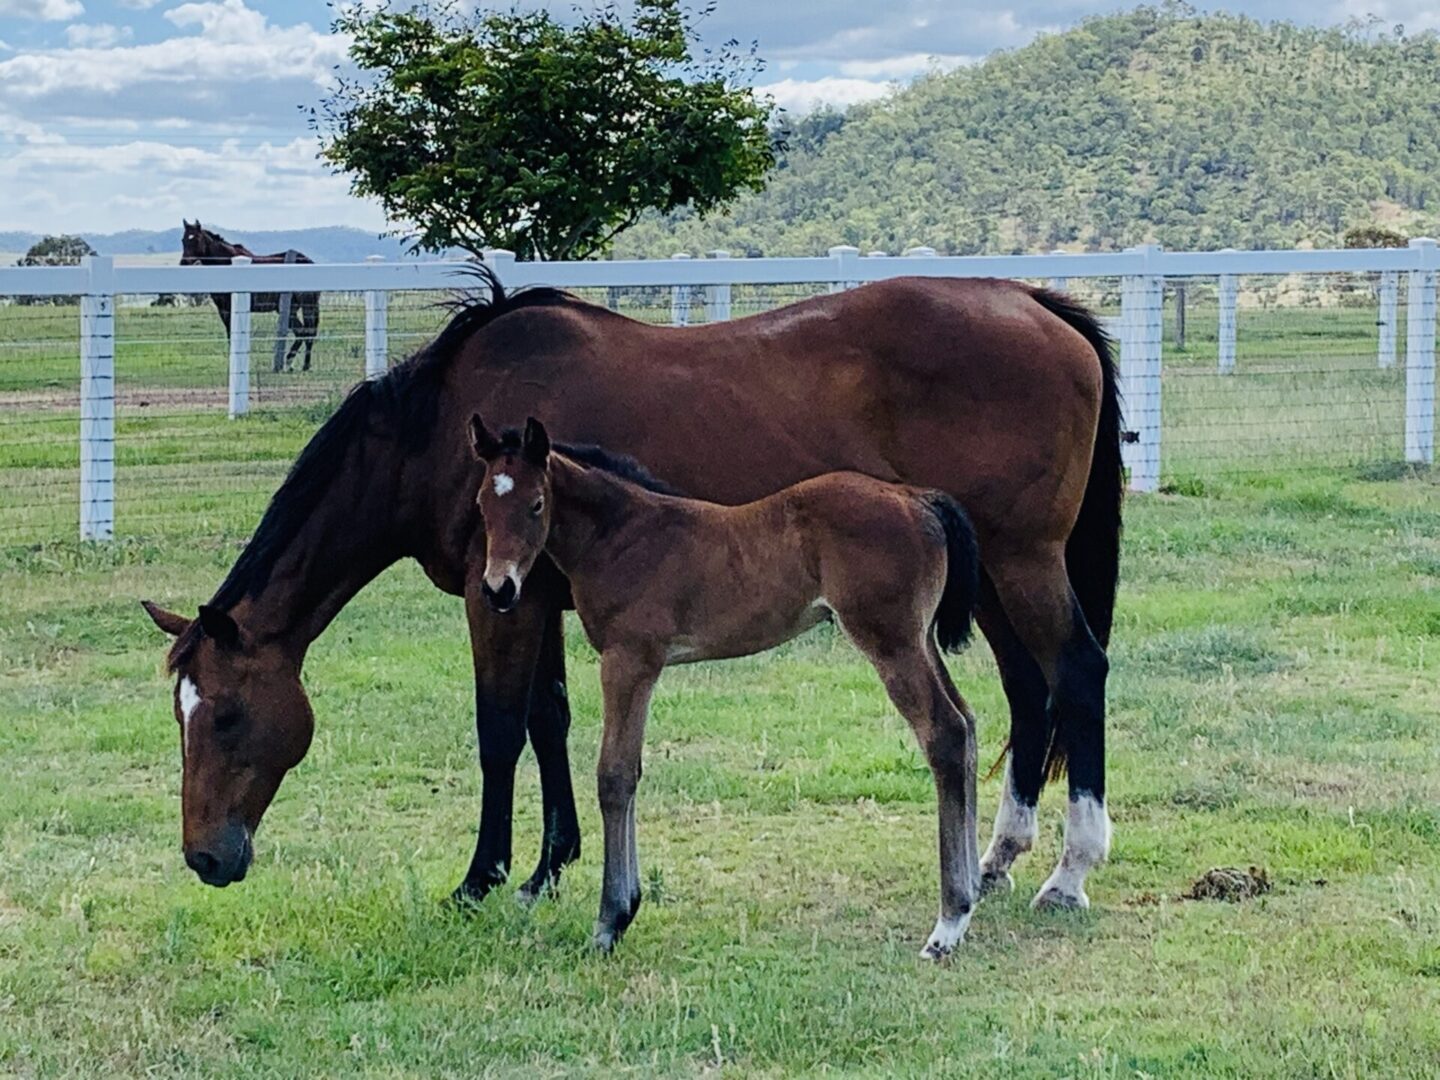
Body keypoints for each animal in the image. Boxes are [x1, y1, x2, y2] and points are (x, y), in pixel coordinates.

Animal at [179, 220, 321, 372]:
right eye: (183, 240)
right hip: (294, 310)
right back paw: (295, 364)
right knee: (304, 333)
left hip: (299, 309)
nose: (184, 263)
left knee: (305, 333)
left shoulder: (227, 310)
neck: (228, 263)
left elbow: (231, 335)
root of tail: (309, 262)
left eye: (196, 239)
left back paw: (296, 363)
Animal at [466, 414, 984, 957]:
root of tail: (917, 498)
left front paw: (609, 922)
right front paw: (627, 906)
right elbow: (631, 771)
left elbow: (614, 776)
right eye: (482, 503)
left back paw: (949, 922)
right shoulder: (640, 666)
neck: (622, 537)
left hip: (891, 643)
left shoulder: (629, 661)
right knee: (968, 725)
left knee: (945, 733)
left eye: (536, 504)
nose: (499, 589)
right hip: (920, 640)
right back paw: (972, 893)